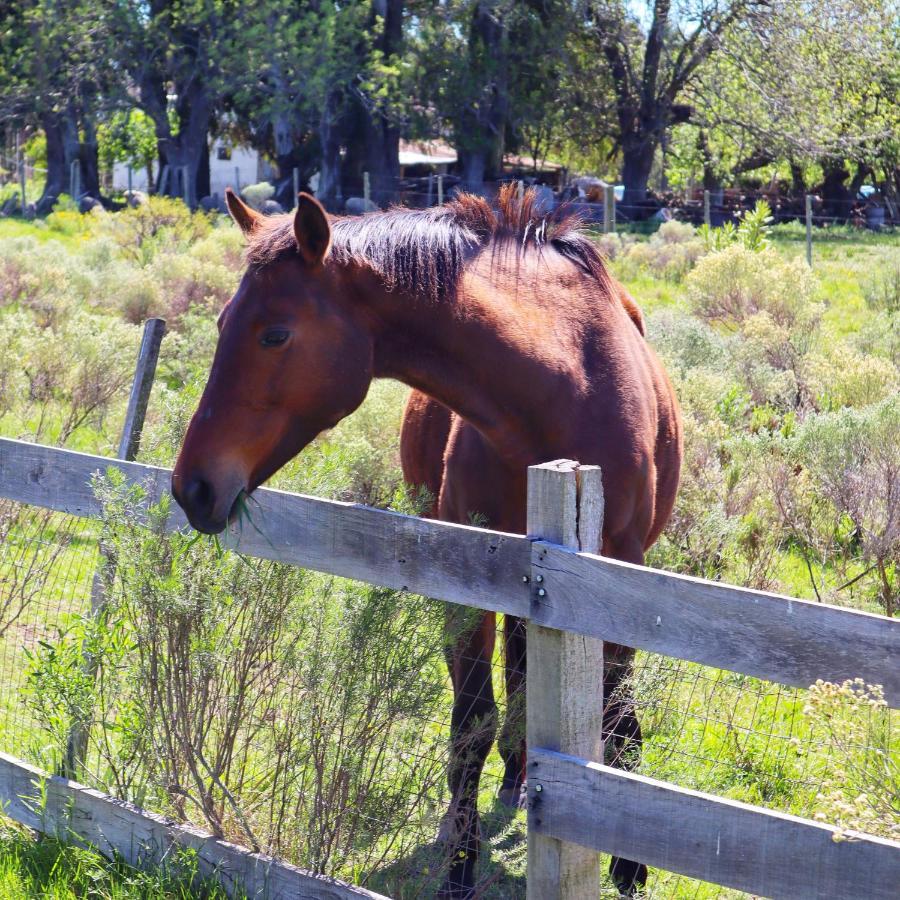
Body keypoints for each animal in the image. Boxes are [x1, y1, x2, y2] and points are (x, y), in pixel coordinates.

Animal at [174, 186, 684, 896]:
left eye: (274, 333)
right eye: (223, 323)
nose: (192, 486)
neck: (565, 390)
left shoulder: (620, 578)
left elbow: (619, 718)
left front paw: (629, 864)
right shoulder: (469, 584)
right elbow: (471, 725)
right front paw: (460, 870)